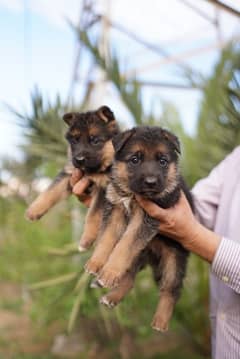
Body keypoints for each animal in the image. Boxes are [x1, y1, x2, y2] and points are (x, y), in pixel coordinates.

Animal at [25, 107, 119, 252]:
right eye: (75, 141)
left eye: (95, 141)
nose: (79, 159)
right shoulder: (69, 173)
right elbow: (51, 191)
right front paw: (33, 210)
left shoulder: (104, 187)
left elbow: (93, 215)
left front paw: (85, 241)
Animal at [93, 126, 194, 332]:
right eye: (135, 160)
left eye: (163, 161)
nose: (150, 182)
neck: (133, 195)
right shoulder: (115, 208)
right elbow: (107, 237)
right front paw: (97, 263)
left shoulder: (147, 219)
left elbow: (124, 244)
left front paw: (109, 270)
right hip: (139, 253)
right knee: (129, 277)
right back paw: (111, 295)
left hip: (174, 260)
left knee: (171, 289)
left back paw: (161, 321)